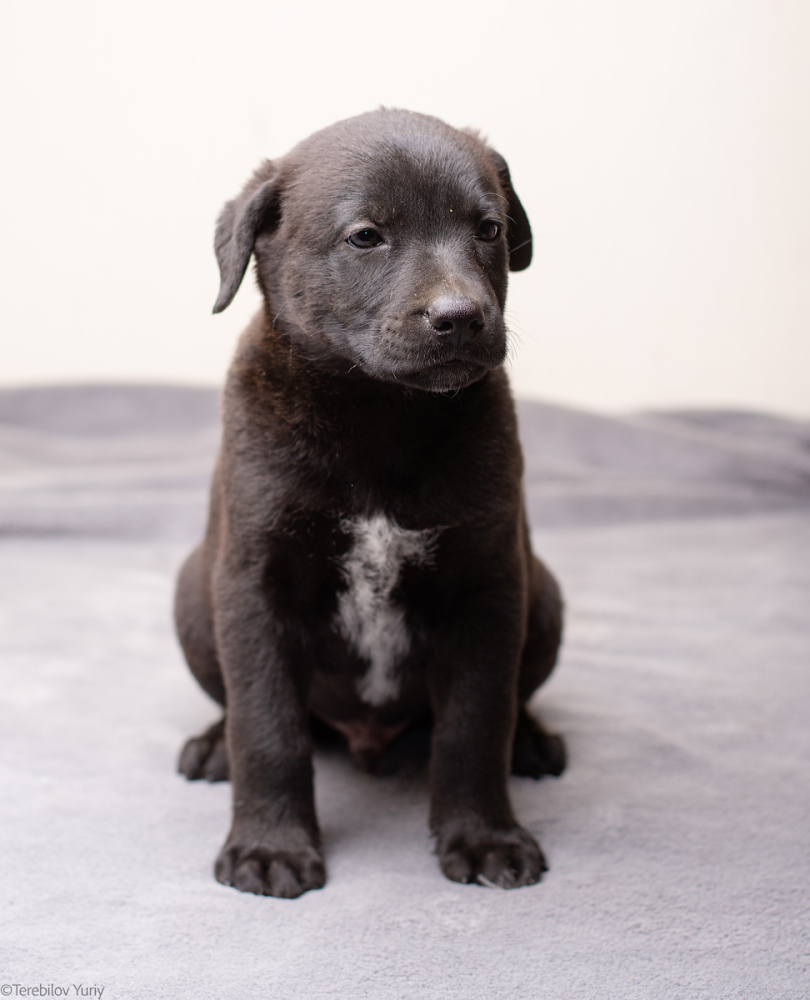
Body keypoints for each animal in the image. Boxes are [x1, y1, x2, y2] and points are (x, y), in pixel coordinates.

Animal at [175, 109, 565, 898]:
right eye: (365, 236)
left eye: (488, 229)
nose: (460, 316)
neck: (382, 412)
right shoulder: (254, 587)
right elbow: (268, 726)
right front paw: (270, 847)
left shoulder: (489, 589)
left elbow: (476, 724)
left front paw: (484, 837)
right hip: (193, 602)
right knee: (236, 707)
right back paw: (212, 747)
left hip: (543, 596)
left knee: (515, 701)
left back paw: (532, 742)